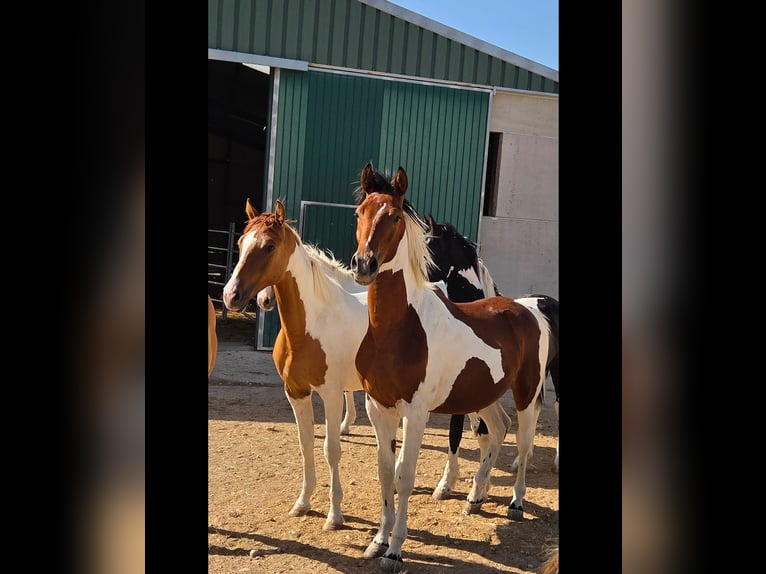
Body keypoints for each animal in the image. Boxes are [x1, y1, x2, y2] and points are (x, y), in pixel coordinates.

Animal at [424, 216, 560, 476]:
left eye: (429, 244)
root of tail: (549, 301)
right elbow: (481, 431)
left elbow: (457, 430)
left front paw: (448, 480)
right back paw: (521, 460)